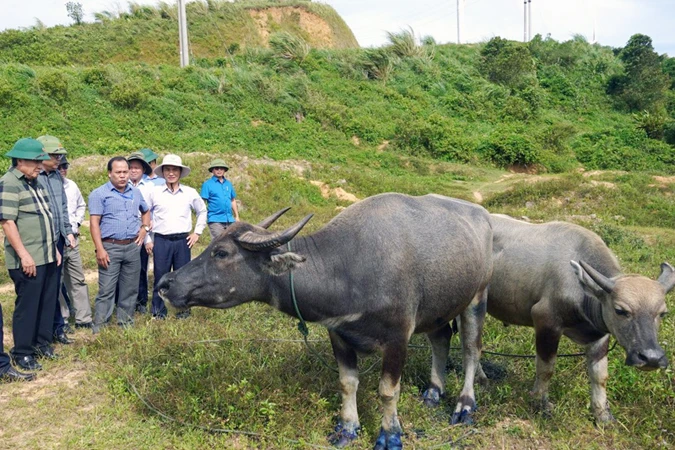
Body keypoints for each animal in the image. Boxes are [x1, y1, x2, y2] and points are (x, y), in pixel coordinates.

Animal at [159, 192, 496, 446]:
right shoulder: (338, 333)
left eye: (222, 253)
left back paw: (465, 406)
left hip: (476, 297)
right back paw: (433, 392)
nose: (165, 283)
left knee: (471, 349)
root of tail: (483, 217)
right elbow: (347, 383)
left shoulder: (398, 337)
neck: (348, 266)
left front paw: (390, 434)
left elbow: (388, 390)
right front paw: (347, 429)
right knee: (441, 339)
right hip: (440, 307)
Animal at [478, 216, 672, 424]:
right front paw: (540, 403)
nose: (651, 358)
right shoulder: (546, 321)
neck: (581, 289)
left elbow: (600, 375)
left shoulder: (600, 335)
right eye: (620, 310)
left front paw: (602, 414)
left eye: (662, 313)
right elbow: (546, 369)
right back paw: (481, 380)